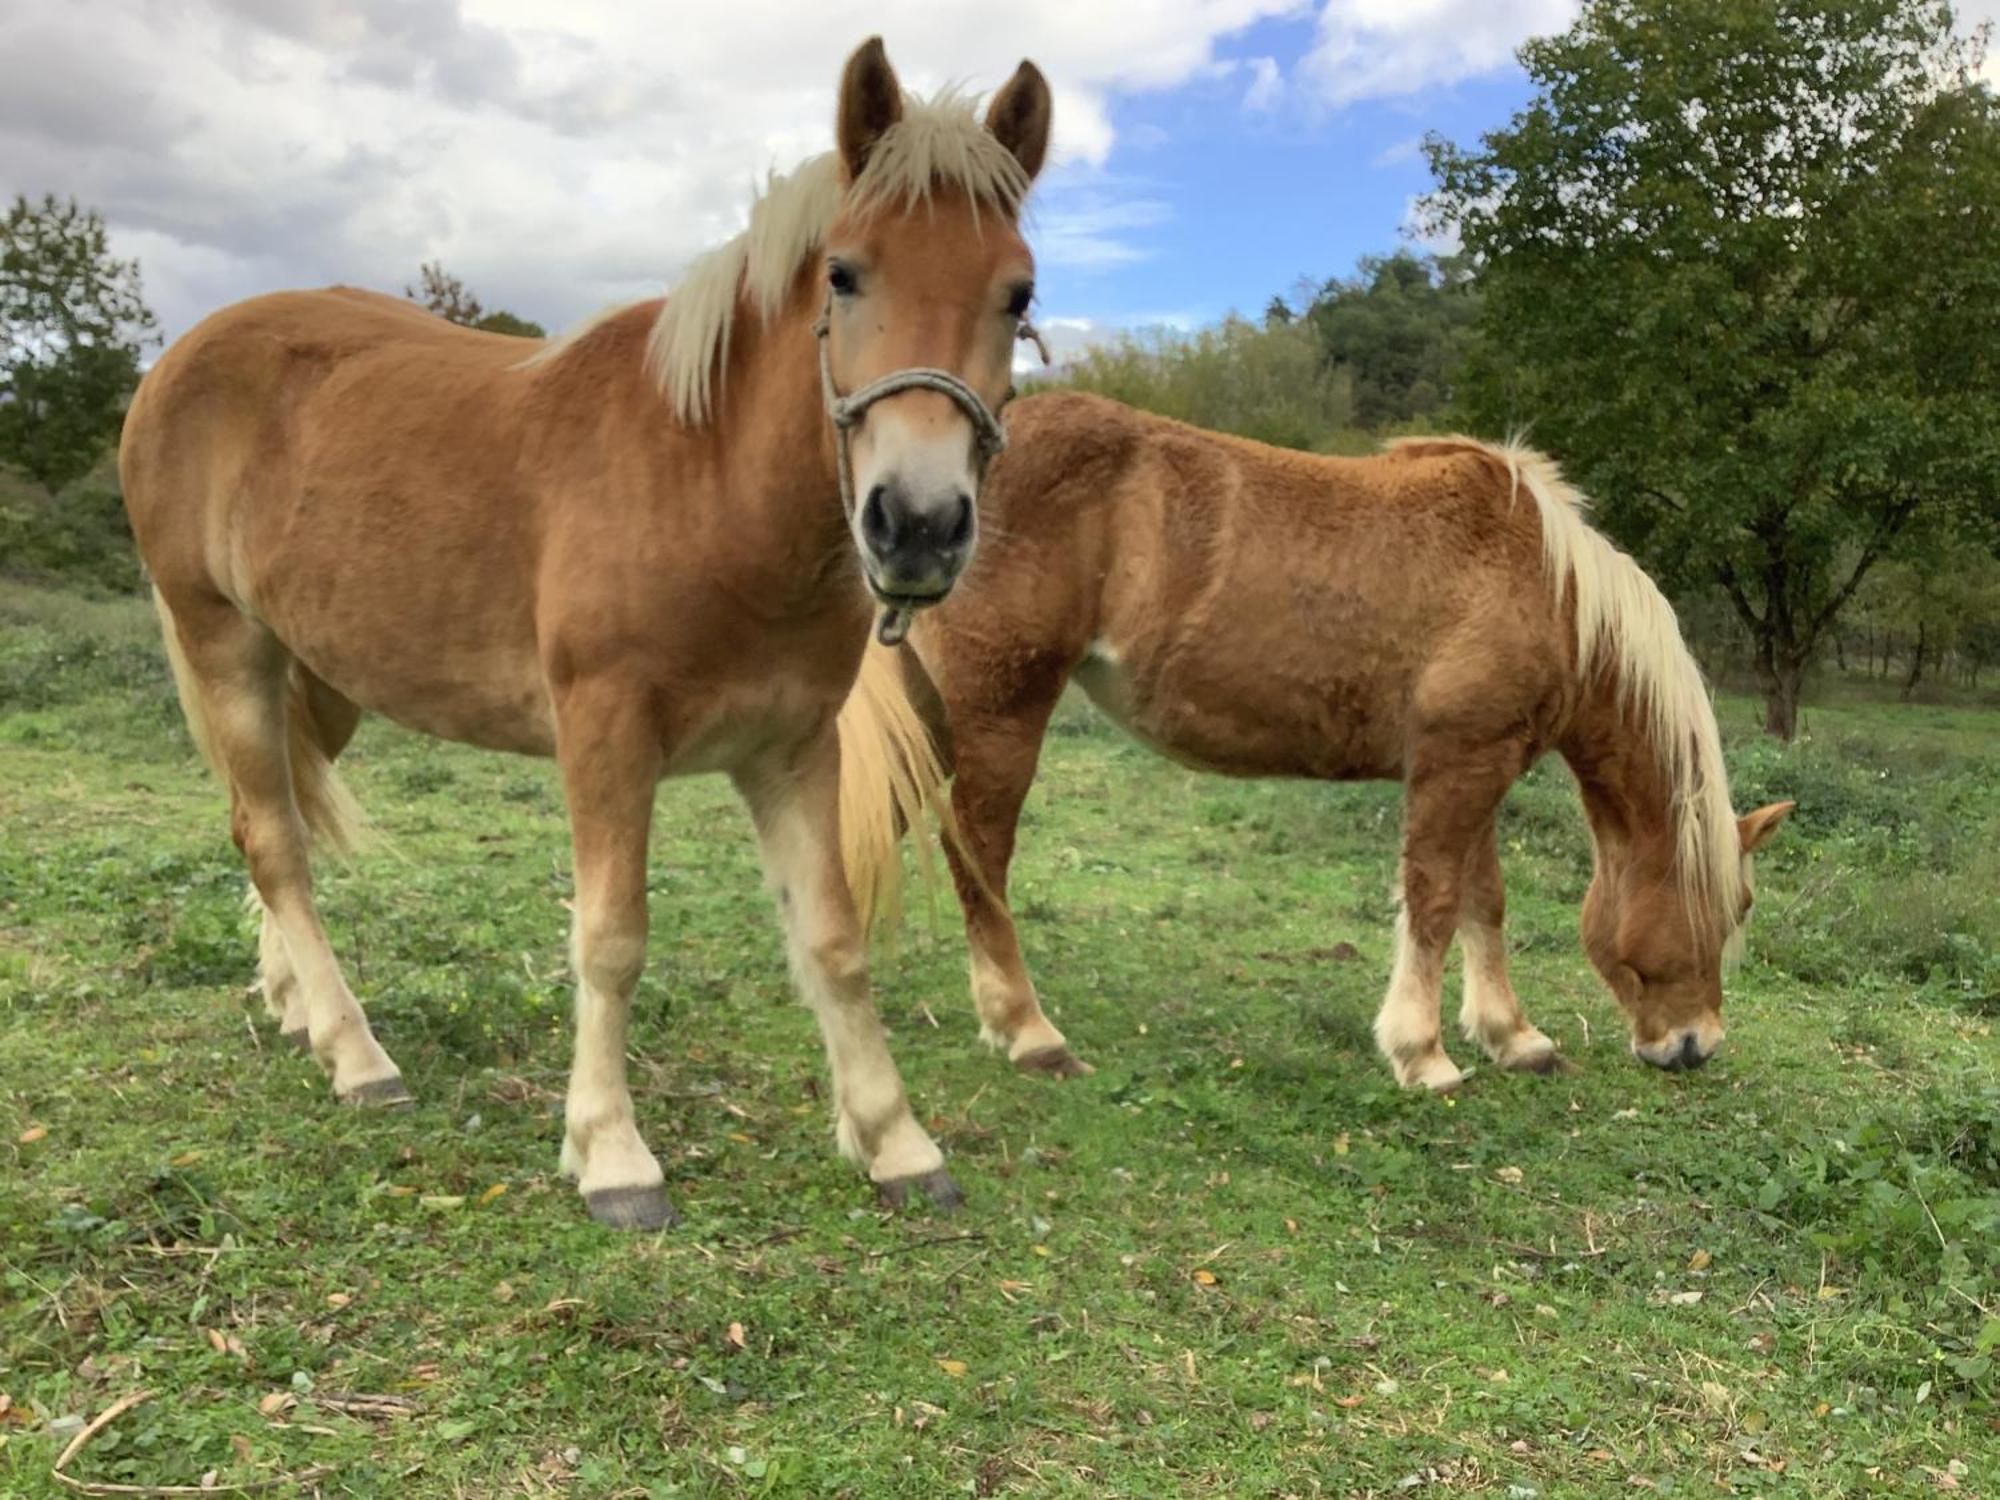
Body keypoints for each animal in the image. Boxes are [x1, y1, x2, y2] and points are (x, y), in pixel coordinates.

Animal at [121, 41, 1064, 1224]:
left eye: (1017, 292)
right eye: (845, 274)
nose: (920, 525)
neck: (706, 481)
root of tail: (177, 362)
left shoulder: (793, 748)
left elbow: (832, 942)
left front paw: (895, 1141)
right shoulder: (606, 735)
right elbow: (611, 941)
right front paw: (611, 1154)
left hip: (317, 674)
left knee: (265, 820)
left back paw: (296, 1006)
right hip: (227, 646)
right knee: (278, 844)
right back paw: (357, 1053)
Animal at [844, 390, 1800, 1096]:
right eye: (1733, 909)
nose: (1695, 1046)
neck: (1548, 588)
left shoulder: (1480, 767)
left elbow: (1483, 901)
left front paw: (1513, 1037)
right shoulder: (1458, 767)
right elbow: (1435, 900)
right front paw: (1423, 1053)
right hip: (1000, 709)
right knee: (979, 855)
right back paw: (1027, 1030)